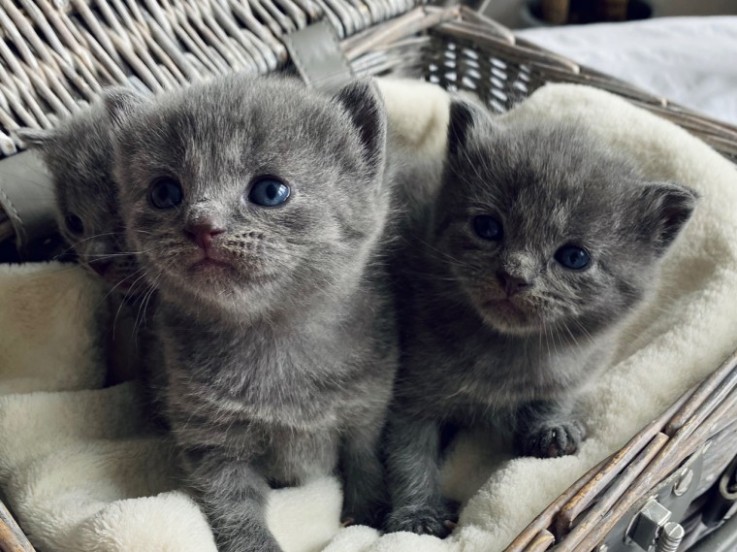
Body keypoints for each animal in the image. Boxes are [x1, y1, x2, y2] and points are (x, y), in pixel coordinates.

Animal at [103, 74, 396, 552]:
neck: (274, 338)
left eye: (269, 191)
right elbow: (233, 505)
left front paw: (367, 514)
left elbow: (365, 459)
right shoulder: (211, 440)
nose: (202, 225)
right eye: (164, 192)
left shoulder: (367, 409)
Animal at [382, 98, 700, 536]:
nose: (514, 275)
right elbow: (408, 455)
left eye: (574, 257)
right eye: (487, 227)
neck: (506, 353)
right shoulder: (408, 393)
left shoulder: (579, 362)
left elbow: (556, 392)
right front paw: (417, 515)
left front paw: (553, 427)